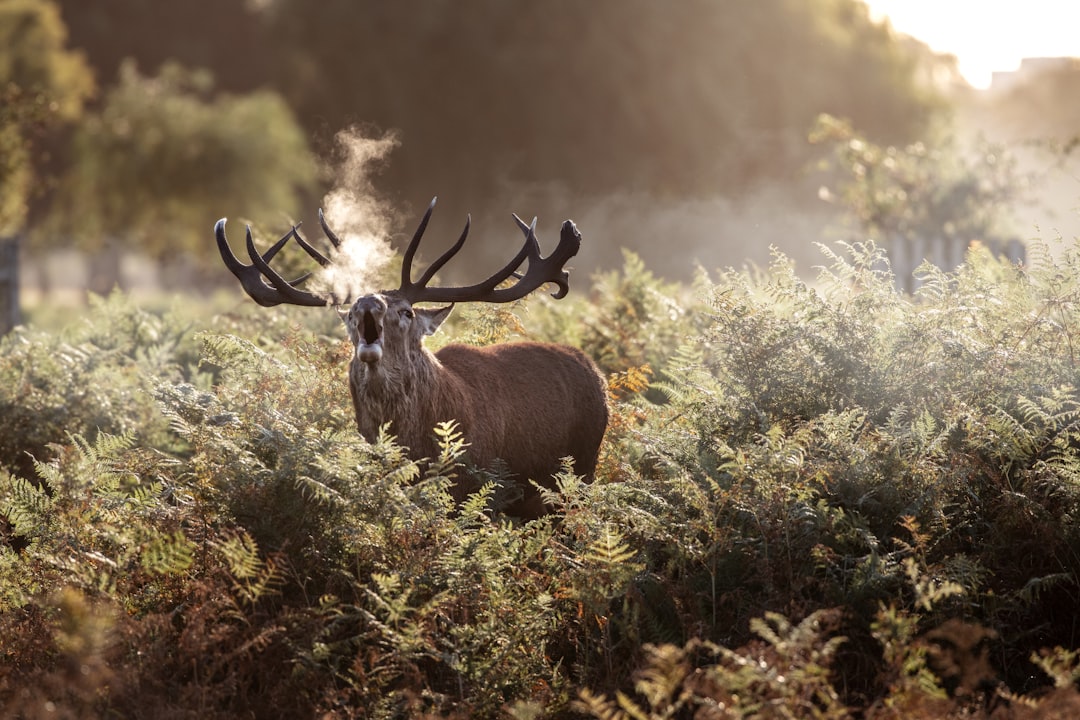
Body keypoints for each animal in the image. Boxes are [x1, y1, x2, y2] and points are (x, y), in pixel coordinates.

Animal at [214, 197, 609, 518]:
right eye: (350, 314)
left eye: (405, 311)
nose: (367, 302)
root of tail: (596, 371)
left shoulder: (478, 489)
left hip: (580, 473)